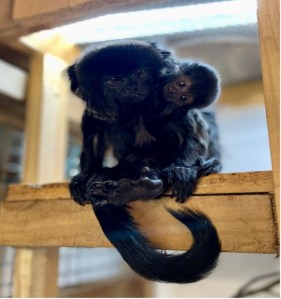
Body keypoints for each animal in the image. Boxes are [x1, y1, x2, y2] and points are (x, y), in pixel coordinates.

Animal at [66, 40, 220, 284]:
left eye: (139, 73)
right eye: (114, 80)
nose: (131, 87)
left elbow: (195, 127)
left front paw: (184, 169)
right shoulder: (94, 112)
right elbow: (92, 135)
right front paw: (83, 177)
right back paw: (133, 187)